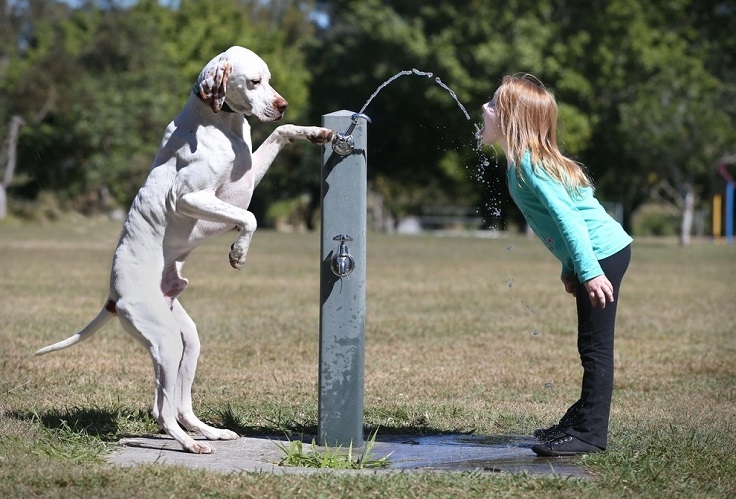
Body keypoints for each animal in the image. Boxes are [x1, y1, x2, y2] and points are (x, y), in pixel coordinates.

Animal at [34, 47, 334, 458]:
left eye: (270, 79)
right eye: (254, 81)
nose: (282, 104)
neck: (219, 122)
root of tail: (113, 296)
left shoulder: (245, 181)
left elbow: (280, 133)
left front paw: (315, 133)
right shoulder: (193, 197)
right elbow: (250, 217)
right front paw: (238, 252)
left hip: (186, 341)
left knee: (179, 403)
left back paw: (209, 432)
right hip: (165, 342)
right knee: (161, 409)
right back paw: (190, 444)